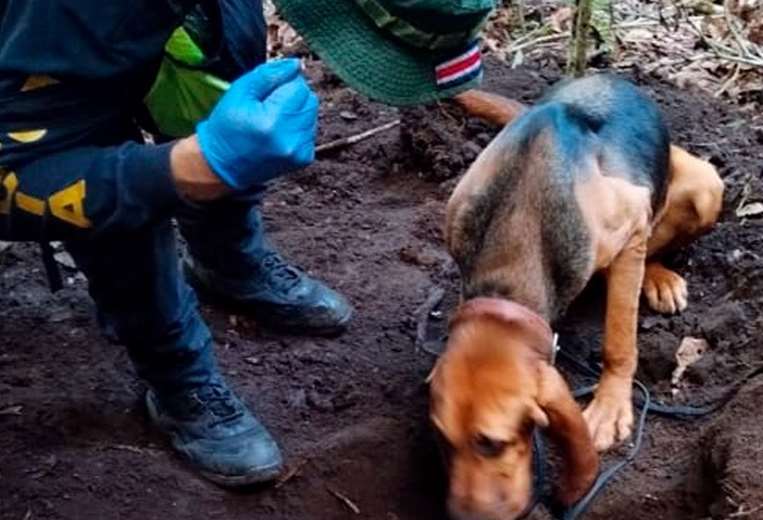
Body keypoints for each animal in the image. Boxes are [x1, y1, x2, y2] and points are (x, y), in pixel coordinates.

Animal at [430, 74, 724, 520]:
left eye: (493, 443)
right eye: (444, 440)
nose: (462, 517)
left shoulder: (631, 225)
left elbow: (619, 340)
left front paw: (611, 406)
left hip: (704, 185)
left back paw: (658, 278)